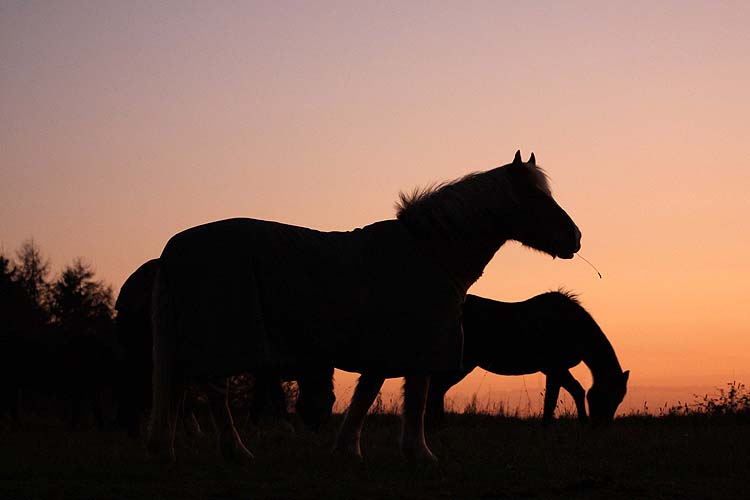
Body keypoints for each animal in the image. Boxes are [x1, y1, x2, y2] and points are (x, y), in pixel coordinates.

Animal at [426, 292, 632, 426]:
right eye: (610, 395)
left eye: (620, 399)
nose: (602, 425)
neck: (573, 326)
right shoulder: (554, 367)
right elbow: (557, 398)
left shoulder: (554, 369)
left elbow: (570, 392)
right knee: (436, 388)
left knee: (437, 388)